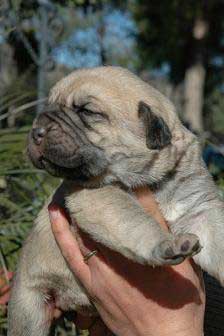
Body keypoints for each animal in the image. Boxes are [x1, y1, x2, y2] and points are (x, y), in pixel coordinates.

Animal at [7, 66, 223, 336]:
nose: (36, 131)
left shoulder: (199, 209)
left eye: (87, 111)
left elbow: (218, 240)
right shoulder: (99, 196)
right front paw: (166, 243)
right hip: (29, 308)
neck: (153, 179)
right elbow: (136, 220)